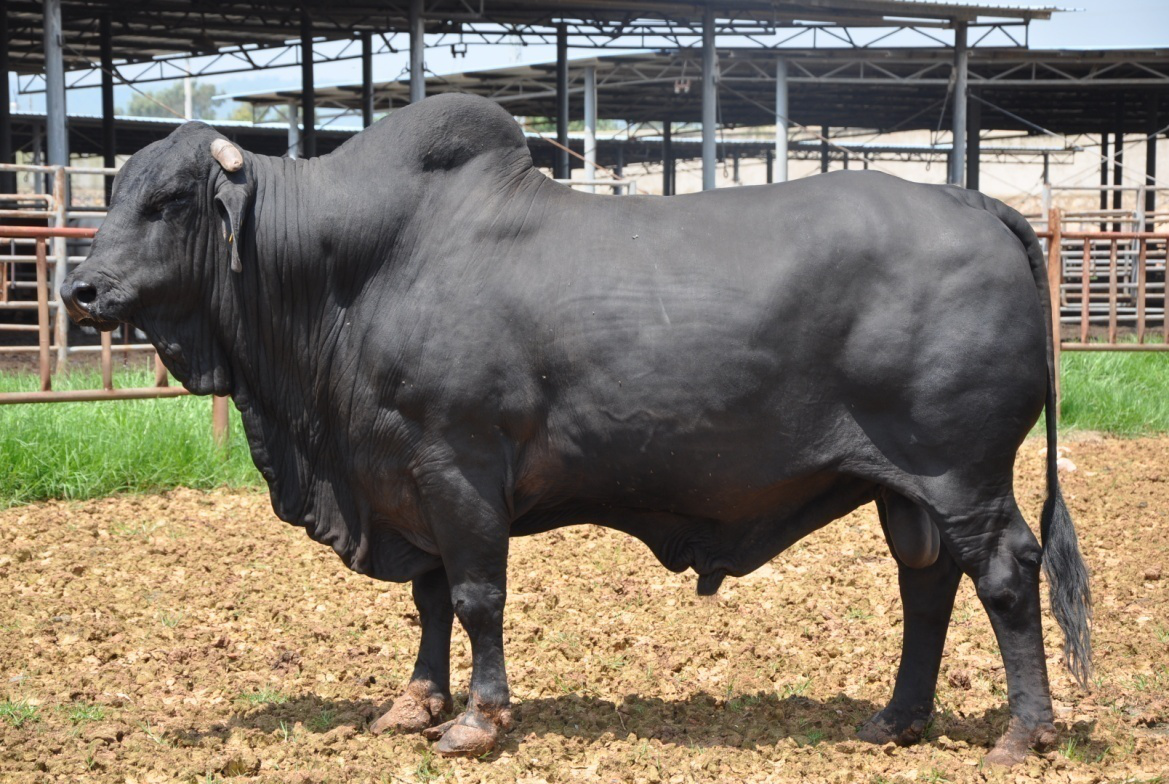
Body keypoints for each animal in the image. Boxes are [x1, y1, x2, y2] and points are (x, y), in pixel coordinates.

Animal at [61, 93, 1084, 766]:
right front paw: (415, 703)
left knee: (1001, 574)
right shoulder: (406, 477)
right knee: (927, 585)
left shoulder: (457, 464)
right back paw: (895, 719)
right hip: (899, 485)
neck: (359, 269)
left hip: (961, 473)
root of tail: (974, 199)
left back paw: (1021, 731)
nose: (80, 288)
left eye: (169, 201)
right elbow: (430, 599)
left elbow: (476, 597)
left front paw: (477, 721)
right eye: (113, 194)